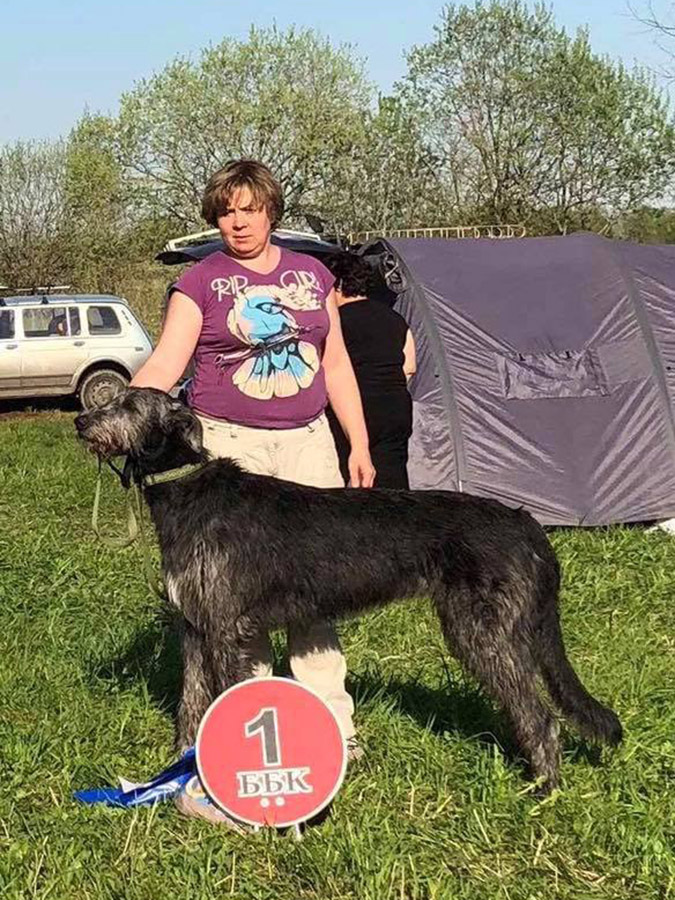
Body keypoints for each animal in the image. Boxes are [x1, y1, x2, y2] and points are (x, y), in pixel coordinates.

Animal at [75, 388, 624, 796]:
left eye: (129, 405)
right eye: (112, 398)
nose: (81, 421)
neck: (188, 490)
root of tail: (524, 521)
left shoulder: (224, 629)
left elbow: (224, 699)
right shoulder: (193, 626)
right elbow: (191, 701)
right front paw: (178, 764)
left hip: (482, 632)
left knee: (541, 716)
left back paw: (543, 789)